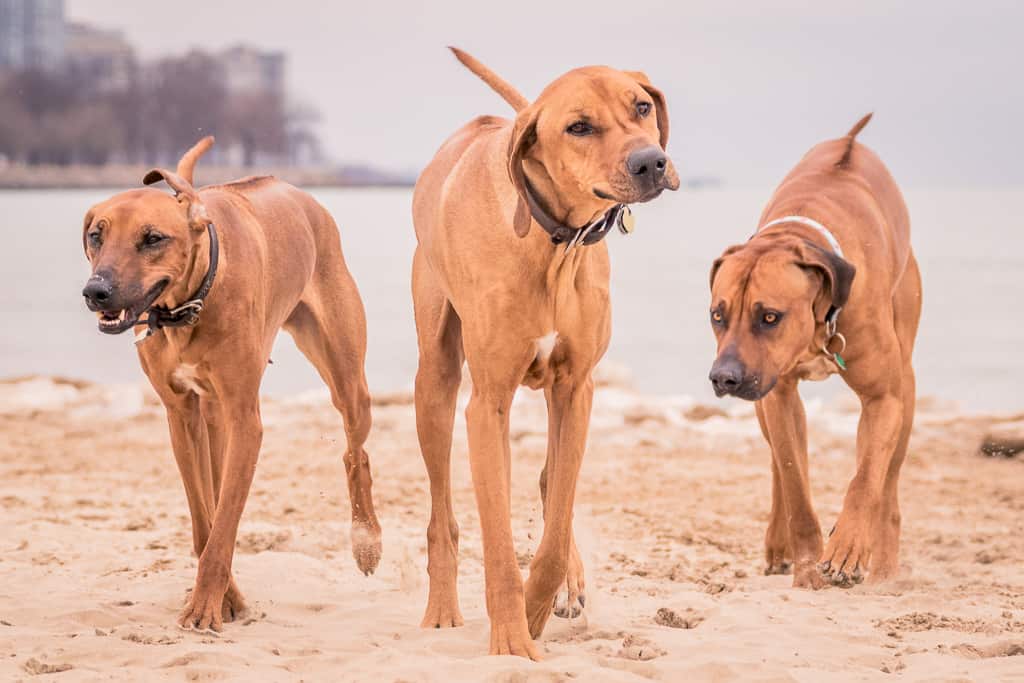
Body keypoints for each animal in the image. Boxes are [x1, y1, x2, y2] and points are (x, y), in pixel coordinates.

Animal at [79, 139, 382, 630]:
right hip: (213, 416)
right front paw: (226, 597)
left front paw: (207, 605)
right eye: (96, 235)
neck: (189, 304)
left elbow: (223, 526)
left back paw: (366, 540)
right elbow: (207, 520)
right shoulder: (181, 416)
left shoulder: (245, 420)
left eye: (153, 238)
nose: (96, 291)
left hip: (346, 376)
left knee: (355, 451)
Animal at [407, 48, 679, 655]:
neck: (554, 241)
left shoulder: (577, 390)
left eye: (642, 106)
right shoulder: (486, 405)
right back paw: (440, 608)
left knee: (552, 485)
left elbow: (552, 534)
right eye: (578, 127)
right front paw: (512, 638)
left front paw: (536, 609)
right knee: (443, 516)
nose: (652, 162)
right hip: (435, 383)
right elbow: (499, 545)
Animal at [708, 114, 925, 589]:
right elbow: (794, 480)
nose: (723, 378)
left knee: (888, 479)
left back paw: (884, 563)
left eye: (770, 316)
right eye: (717, 315)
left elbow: (865, 479)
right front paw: (807, 566)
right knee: (779, 464)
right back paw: (778, 545)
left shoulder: (883, 399)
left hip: (906, 384)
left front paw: (848, 548)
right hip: (763, 400)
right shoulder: (777, 394)